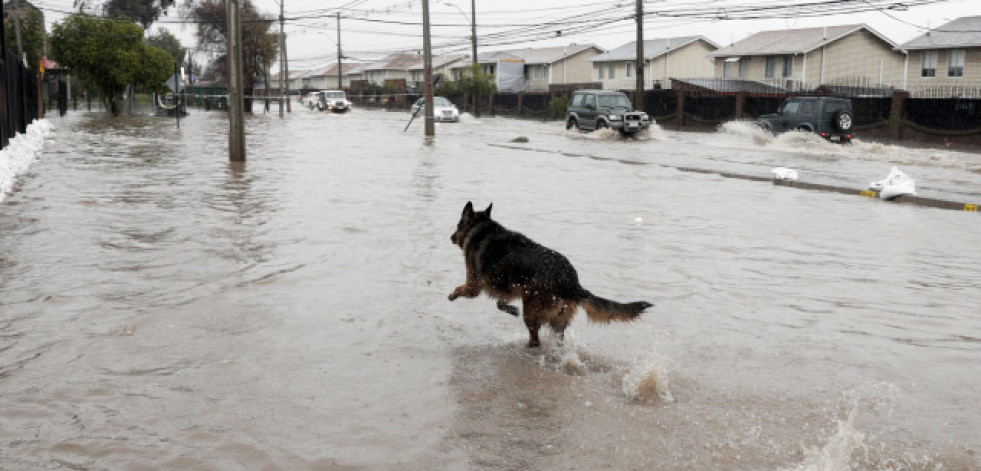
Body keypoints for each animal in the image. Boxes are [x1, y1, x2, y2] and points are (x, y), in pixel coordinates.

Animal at [450, 201, 652, 348]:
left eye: (458, 225)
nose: (451, 237)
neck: (481, 229)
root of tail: (571, 282)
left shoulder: (474, 285)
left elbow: (461, 289)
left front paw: (451, 295)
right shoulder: (510, 287)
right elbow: (501, 303)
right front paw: (510, 309)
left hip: (531, 310)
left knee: (535, 340)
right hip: (556, 317)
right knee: (557, 338)